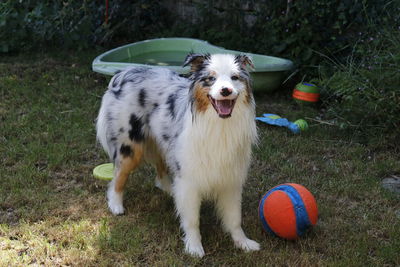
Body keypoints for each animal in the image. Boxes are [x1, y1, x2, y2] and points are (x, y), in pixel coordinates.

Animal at [96, 54, 260, 258]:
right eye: (210, 79)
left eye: (235, 77)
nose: (226, 90)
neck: (219, 125)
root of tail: (126, 71)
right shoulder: (189, 180)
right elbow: (192, 219)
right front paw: (194, 247)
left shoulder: (231, 179)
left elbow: (234, 218)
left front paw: (243, 243)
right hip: (130, 147)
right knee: (118, 176)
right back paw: (116, 205)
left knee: (160, 173)